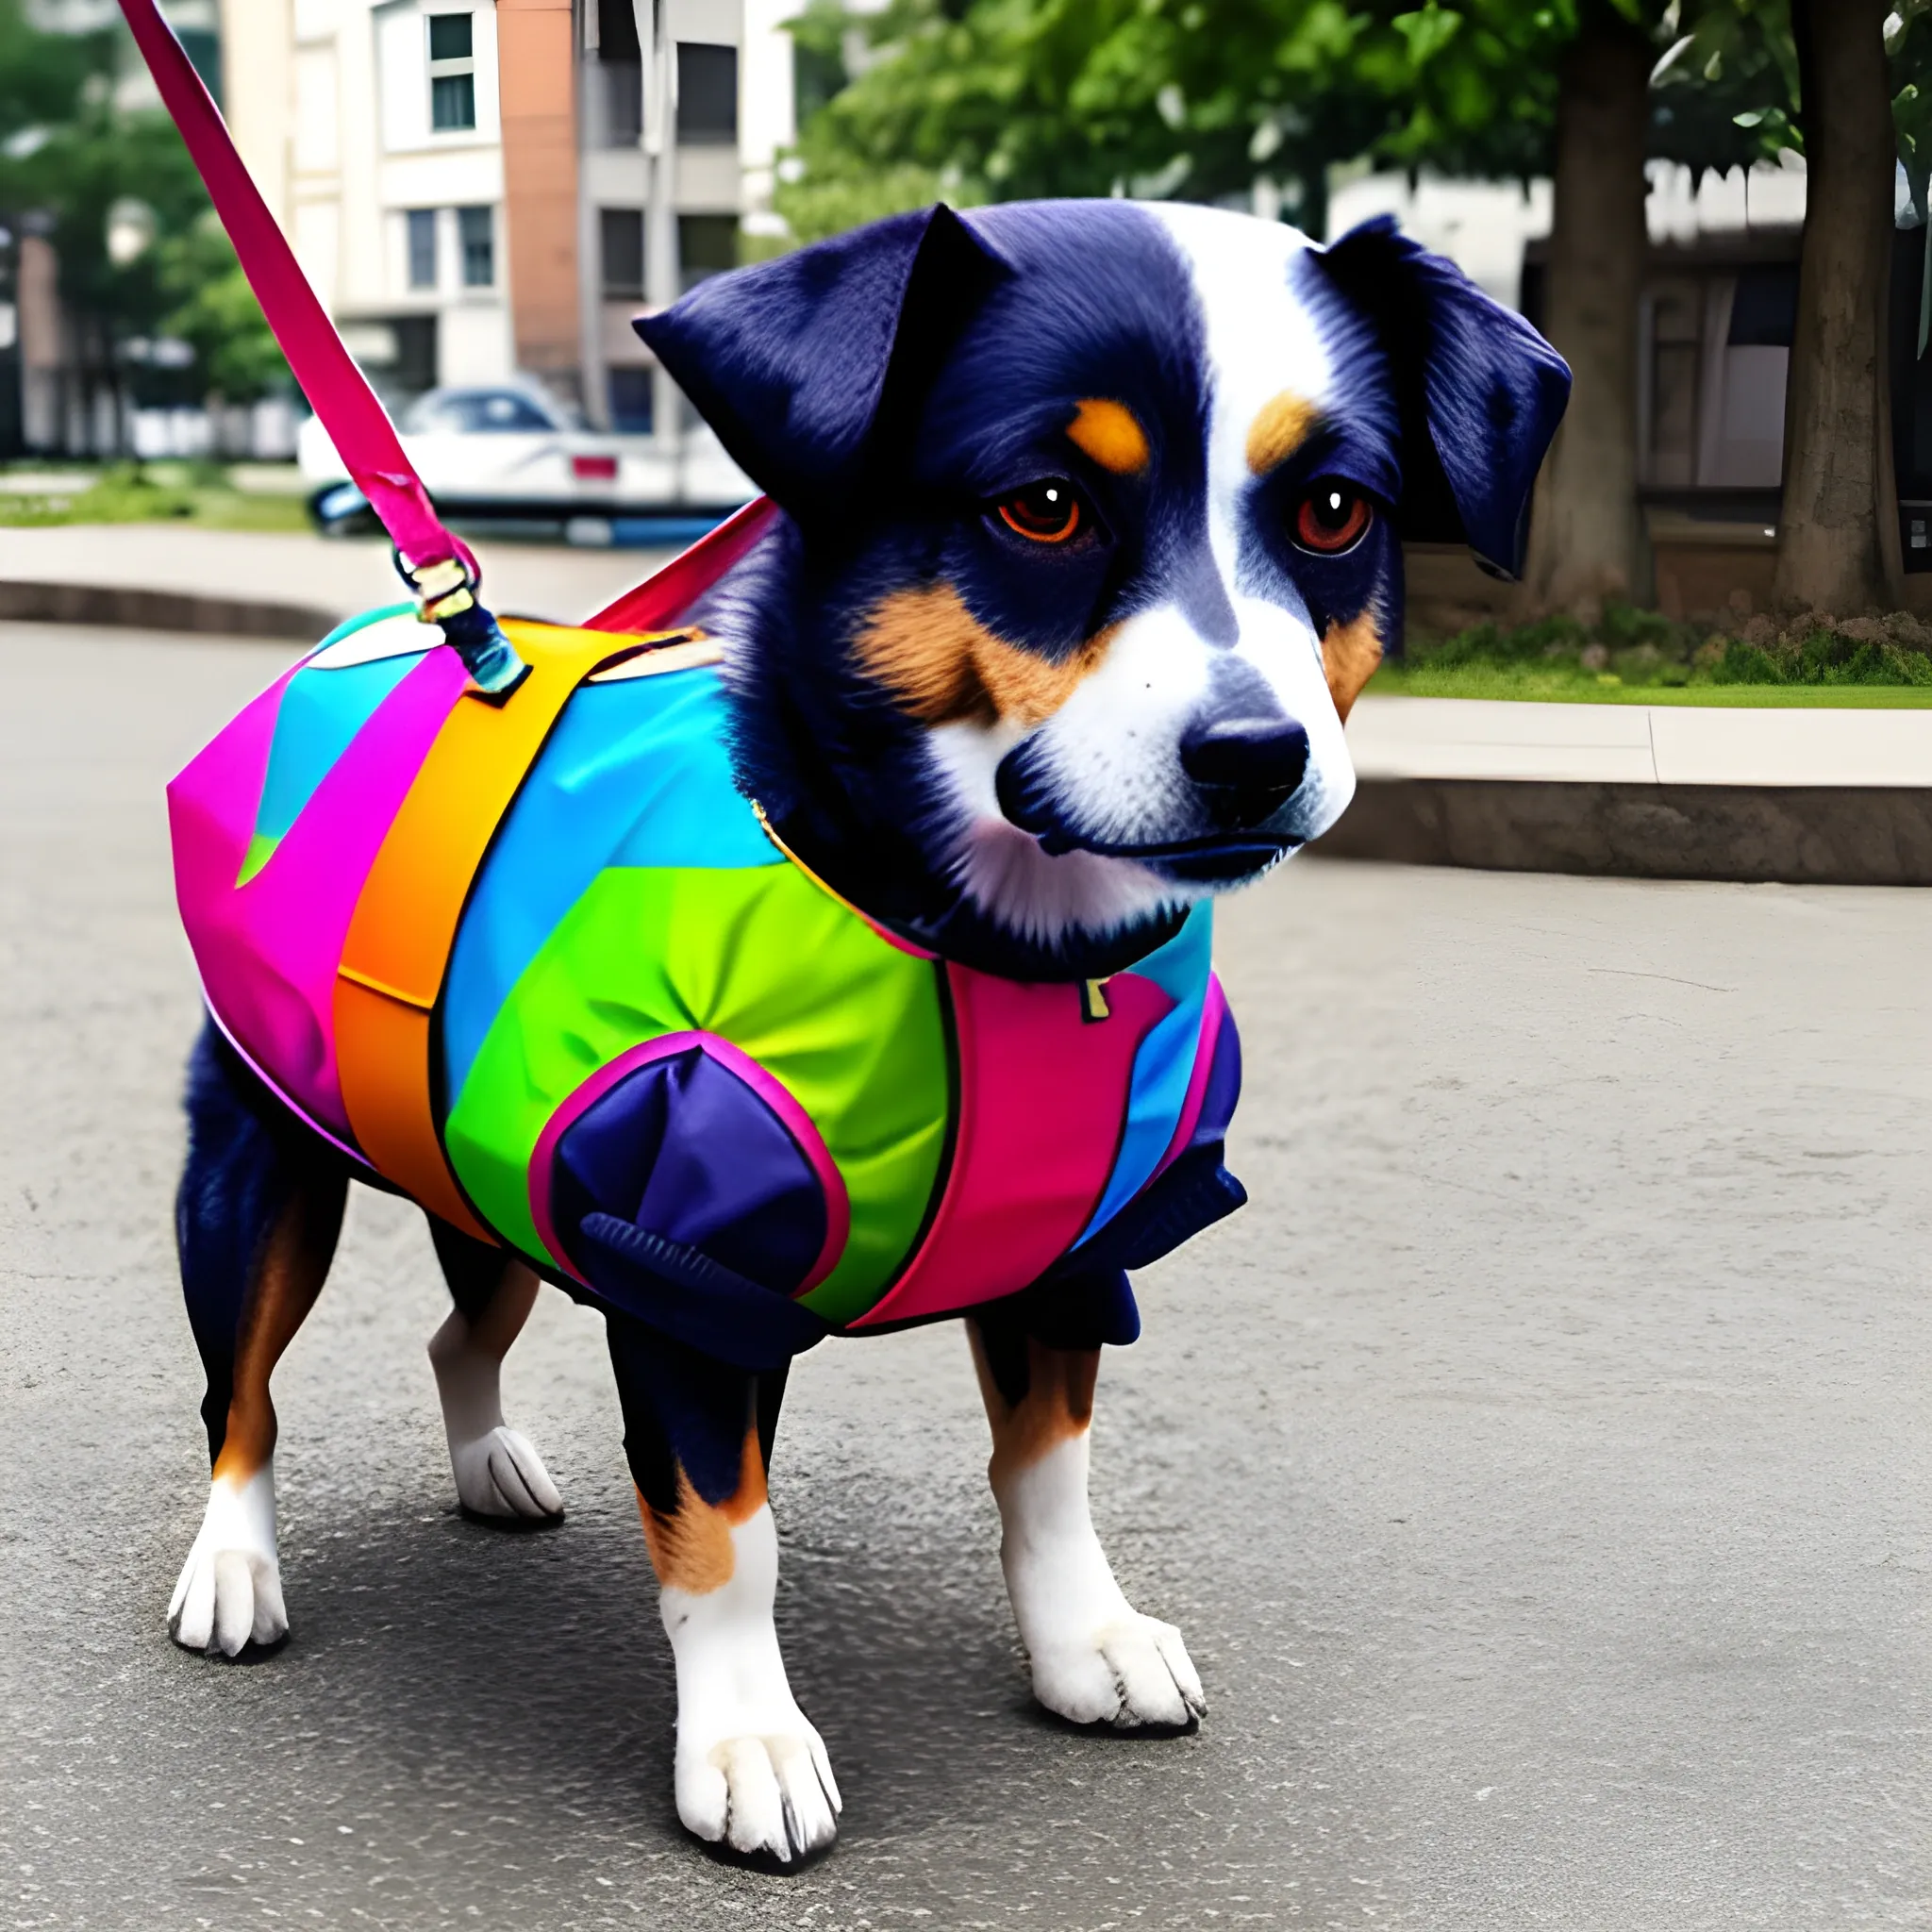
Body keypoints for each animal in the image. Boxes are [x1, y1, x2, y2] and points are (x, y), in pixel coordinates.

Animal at [158, 199, 1560, 1870]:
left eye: (1336, 510)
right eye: (1041, 507)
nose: (1253, 753)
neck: (984, 941)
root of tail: (370, 632)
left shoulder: (1071, 1250)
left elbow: (1049, 1470)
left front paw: (1083, 1639)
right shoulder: (687, 1277)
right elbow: (725, 1535)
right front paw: (746, 1740)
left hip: (488, 1166)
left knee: (461, 1325)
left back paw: (489, 1459)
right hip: (261, 1173)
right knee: (240, 1389)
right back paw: (233, 1561)